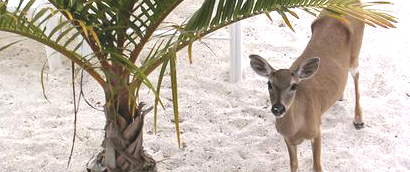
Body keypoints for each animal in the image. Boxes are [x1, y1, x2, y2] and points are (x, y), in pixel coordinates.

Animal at [250, 4, 366, 171]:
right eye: (269, 84)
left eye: (294, 86)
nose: (278, 108)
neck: (296, 129)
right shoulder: (287, 139)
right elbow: (294, 165)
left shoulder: (316, 130)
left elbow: (317, 166)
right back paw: (340, 97)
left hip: (356, 49)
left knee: (356, 75)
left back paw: (358, 120)